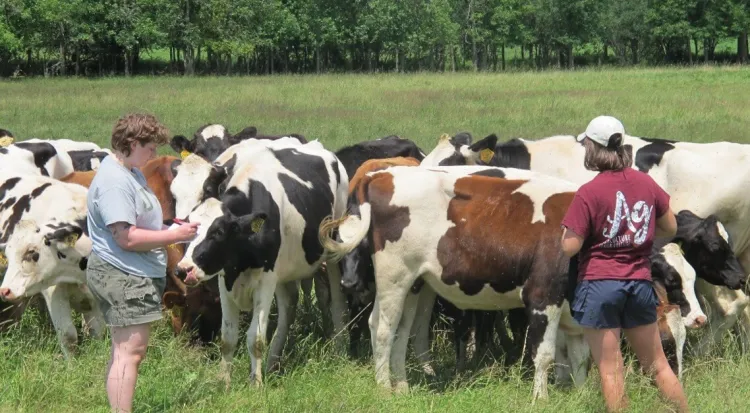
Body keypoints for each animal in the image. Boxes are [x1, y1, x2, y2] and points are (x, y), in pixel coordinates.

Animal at [0, 173, 103, 358]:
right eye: (9, 257)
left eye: (31, 252)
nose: (5, 291)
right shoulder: (53, 292)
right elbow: (69, 336)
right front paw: (72, 363)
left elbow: (97, 332)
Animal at [174, 139, 350, 388]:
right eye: (191, 228)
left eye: (218, 232)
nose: (184, 269)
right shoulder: (226, 280)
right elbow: (228, 337)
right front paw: (224, 382)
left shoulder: (266, 281)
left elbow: (255, 338)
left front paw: (255, 383)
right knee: (289, 308)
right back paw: (273, 363)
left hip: (333, 253)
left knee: (335, 303)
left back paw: (339, 349)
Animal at [318, 163, 588, 401]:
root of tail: (383, 174)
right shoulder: (543, 296)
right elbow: (545, 354)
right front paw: (541, 399)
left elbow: (580, 358)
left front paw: (579, 395)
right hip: (393, 276)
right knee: (382, 327)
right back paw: (384, 388)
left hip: (413, 283)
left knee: (402, 329)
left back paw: (402, 387)